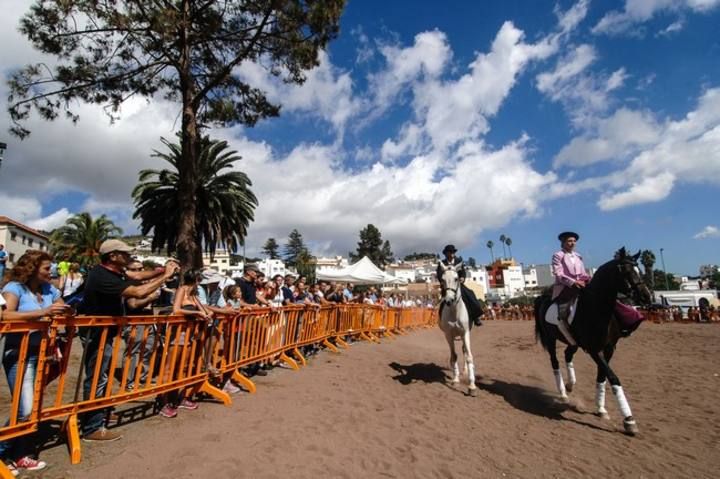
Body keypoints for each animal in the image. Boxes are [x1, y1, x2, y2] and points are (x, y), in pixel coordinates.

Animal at [438, 262, 478, 398]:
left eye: (456, 278)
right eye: (442, 279)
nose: (449, 300)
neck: (455, 311)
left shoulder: (465, 332)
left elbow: (469, 356)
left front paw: (472, 386)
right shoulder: (448, 335)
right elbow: (454, 356)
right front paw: (455, 380)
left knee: (465, 350)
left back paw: (465, 371)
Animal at [536, 248, 652, 436]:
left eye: (639, 270)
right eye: (626, 272)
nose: (646, 296)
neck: (597, 307)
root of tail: (544, 298)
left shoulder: (610, 348)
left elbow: (602, 376)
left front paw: (601, 408)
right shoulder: (593, 350)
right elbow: (613, 378)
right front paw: (629, 419)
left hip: (573, 341)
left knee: (567, 354)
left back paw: (570, 384)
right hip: (551, 339)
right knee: (555, 362)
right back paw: (563, 392)